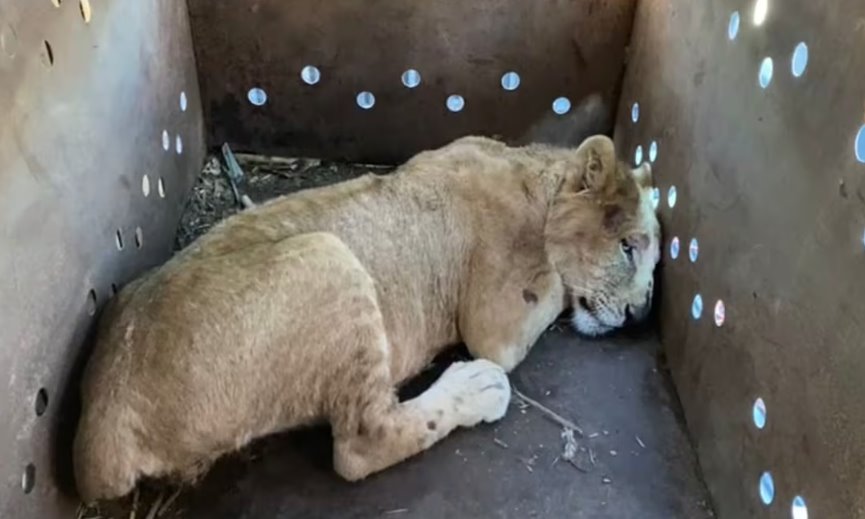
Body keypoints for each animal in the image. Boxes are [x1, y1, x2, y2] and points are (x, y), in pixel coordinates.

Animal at [73, 134, 660, 503]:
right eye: (629, 247)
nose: (639, 316)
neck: (534, 173)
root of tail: (103, 418)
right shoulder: (498, 322)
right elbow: (556, 285)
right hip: (327, 257)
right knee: (361, 445)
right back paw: (476, 387)